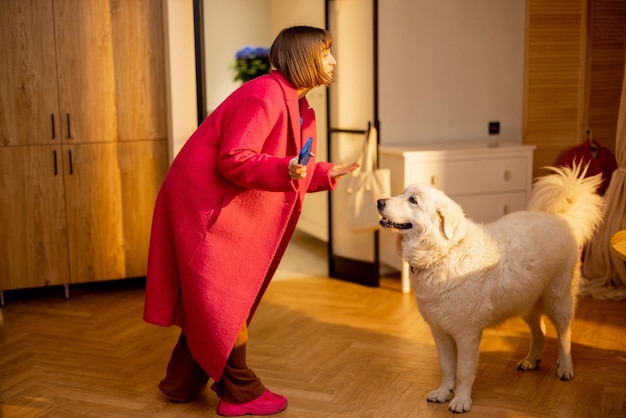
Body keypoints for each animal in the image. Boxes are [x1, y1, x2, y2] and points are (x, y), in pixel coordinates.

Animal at [376, 165, 604, 414]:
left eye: (413, 200)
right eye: (402, 193)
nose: (379, 202)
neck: (444, 253)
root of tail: (561, 219)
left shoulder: (467, 335)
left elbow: (463, 372)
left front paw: (461, 401)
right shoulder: (440, 332)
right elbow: (447, 367)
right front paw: (443, 393)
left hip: (558, 299)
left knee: (564, 334)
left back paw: (565, 367)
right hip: (525, 301)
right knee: (540, 330)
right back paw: (531, 360)